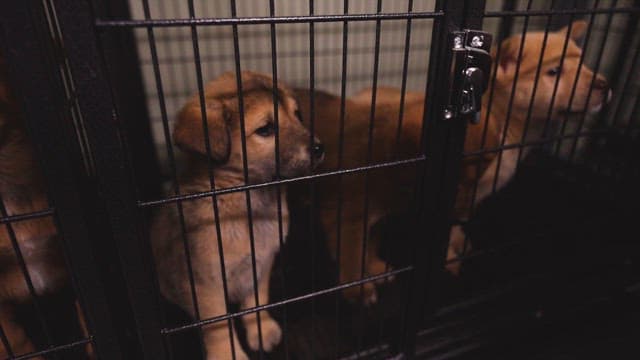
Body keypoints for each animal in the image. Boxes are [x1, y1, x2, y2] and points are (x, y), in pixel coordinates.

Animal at [149, 71, 320, 360]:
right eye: (266, 129)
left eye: (298, 115)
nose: (320, 148)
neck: (246, 202)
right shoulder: (205, 282)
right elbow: (218, 327)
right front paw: (227, 354)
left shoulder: (261, 265)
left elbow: (256, 302)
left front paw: (261, 330)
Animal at [298, 21, 608, 304]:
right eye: (554, 72)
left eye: (584, 63)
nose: (604, 85)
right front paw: (448, 260)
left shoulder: (468, 198)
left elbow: (457, 228)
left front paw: (459, 248)